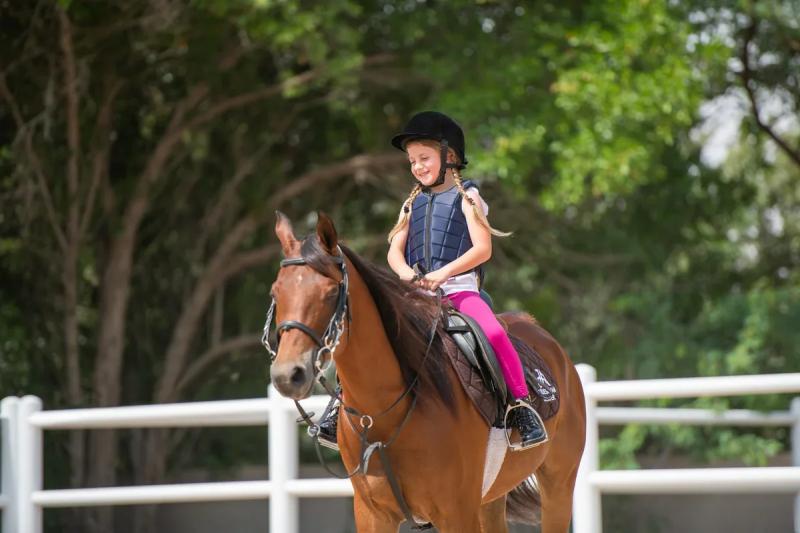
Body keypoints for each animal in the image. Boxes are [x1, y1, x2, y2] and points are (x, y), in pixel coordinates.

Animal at [268, 210, 588, 528]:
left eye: (330, 292)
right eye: (276, 292)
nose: (288, 374)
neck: (384, 414)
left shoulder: (457, 513)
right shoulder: (373, 515)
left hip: (558, 485)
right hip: (491, 501)